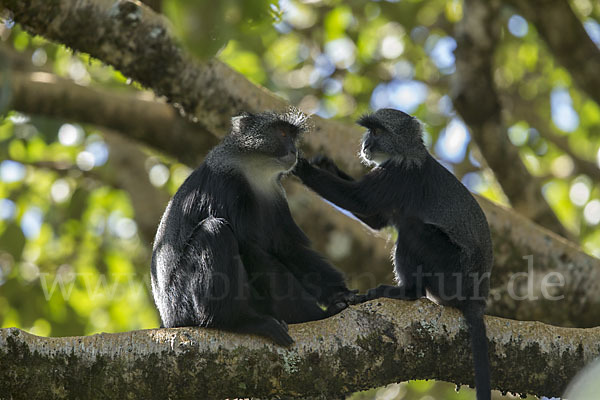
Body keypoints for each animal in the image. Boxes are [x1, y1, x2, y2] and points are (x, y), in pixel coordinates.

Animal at [150, 109, 356, 346]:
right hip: (182, 301)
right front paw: (315, 314)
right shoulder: (227, 186)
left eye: (293, 136)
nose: (294, 150)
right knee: (214, 230)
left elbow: (288, 249)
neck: (255, 171)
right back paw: (236, 321)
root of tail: (168, 320)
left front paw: (341, 294)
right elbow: (251, 249)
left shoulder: (276, 196)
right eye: (282, 133)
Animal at [292, 107, 494, 400]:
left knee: (411, 228)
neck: (409, 153)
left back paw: (407, 292)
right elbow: (375, 218)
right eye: (369, 131)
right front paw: (325, 164)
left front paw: (300, 165)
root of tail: (476, 296)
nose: (365, 145)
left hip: (450, 271)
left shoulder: (399, 175)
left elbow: (358, 201)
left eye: (377, 131)